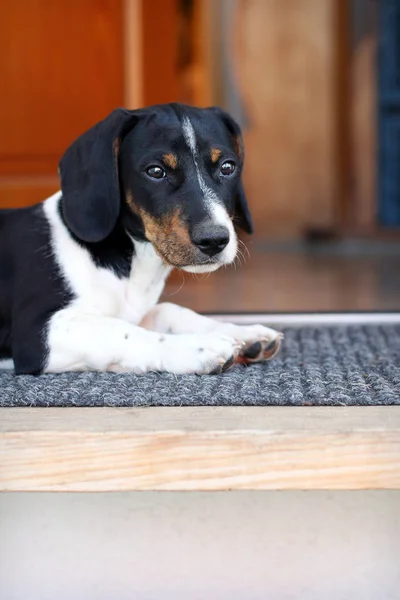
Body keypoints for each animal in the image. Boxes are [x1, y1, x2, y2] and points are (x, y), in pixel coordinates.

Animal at [0, 104, 282, 376]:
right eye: (155, 171)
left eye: (227, 167)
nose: (214, 240)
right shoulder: (38, 334)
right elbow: (121, 332)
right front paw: (199, 347)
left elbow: (168, 311)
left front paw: (242, 332)